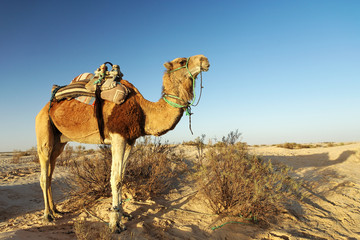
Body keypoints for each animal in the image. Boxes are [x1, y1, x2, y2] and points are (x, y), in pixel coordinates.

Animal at [35, 54, 210, 232]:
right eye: (182, 61)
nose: (204, 59)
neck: (144, 111)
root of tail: (45, 107)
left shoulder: (130, 139)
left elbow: (123, 176)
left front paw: (123, 214)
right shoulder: (118, 136)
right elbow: (116, 178)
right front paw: (115, 223)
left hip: (60, 140)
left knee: (50, 172)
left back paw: (56, 210)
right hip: (43, 129)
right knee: (43, 174)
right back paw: (47, 215)